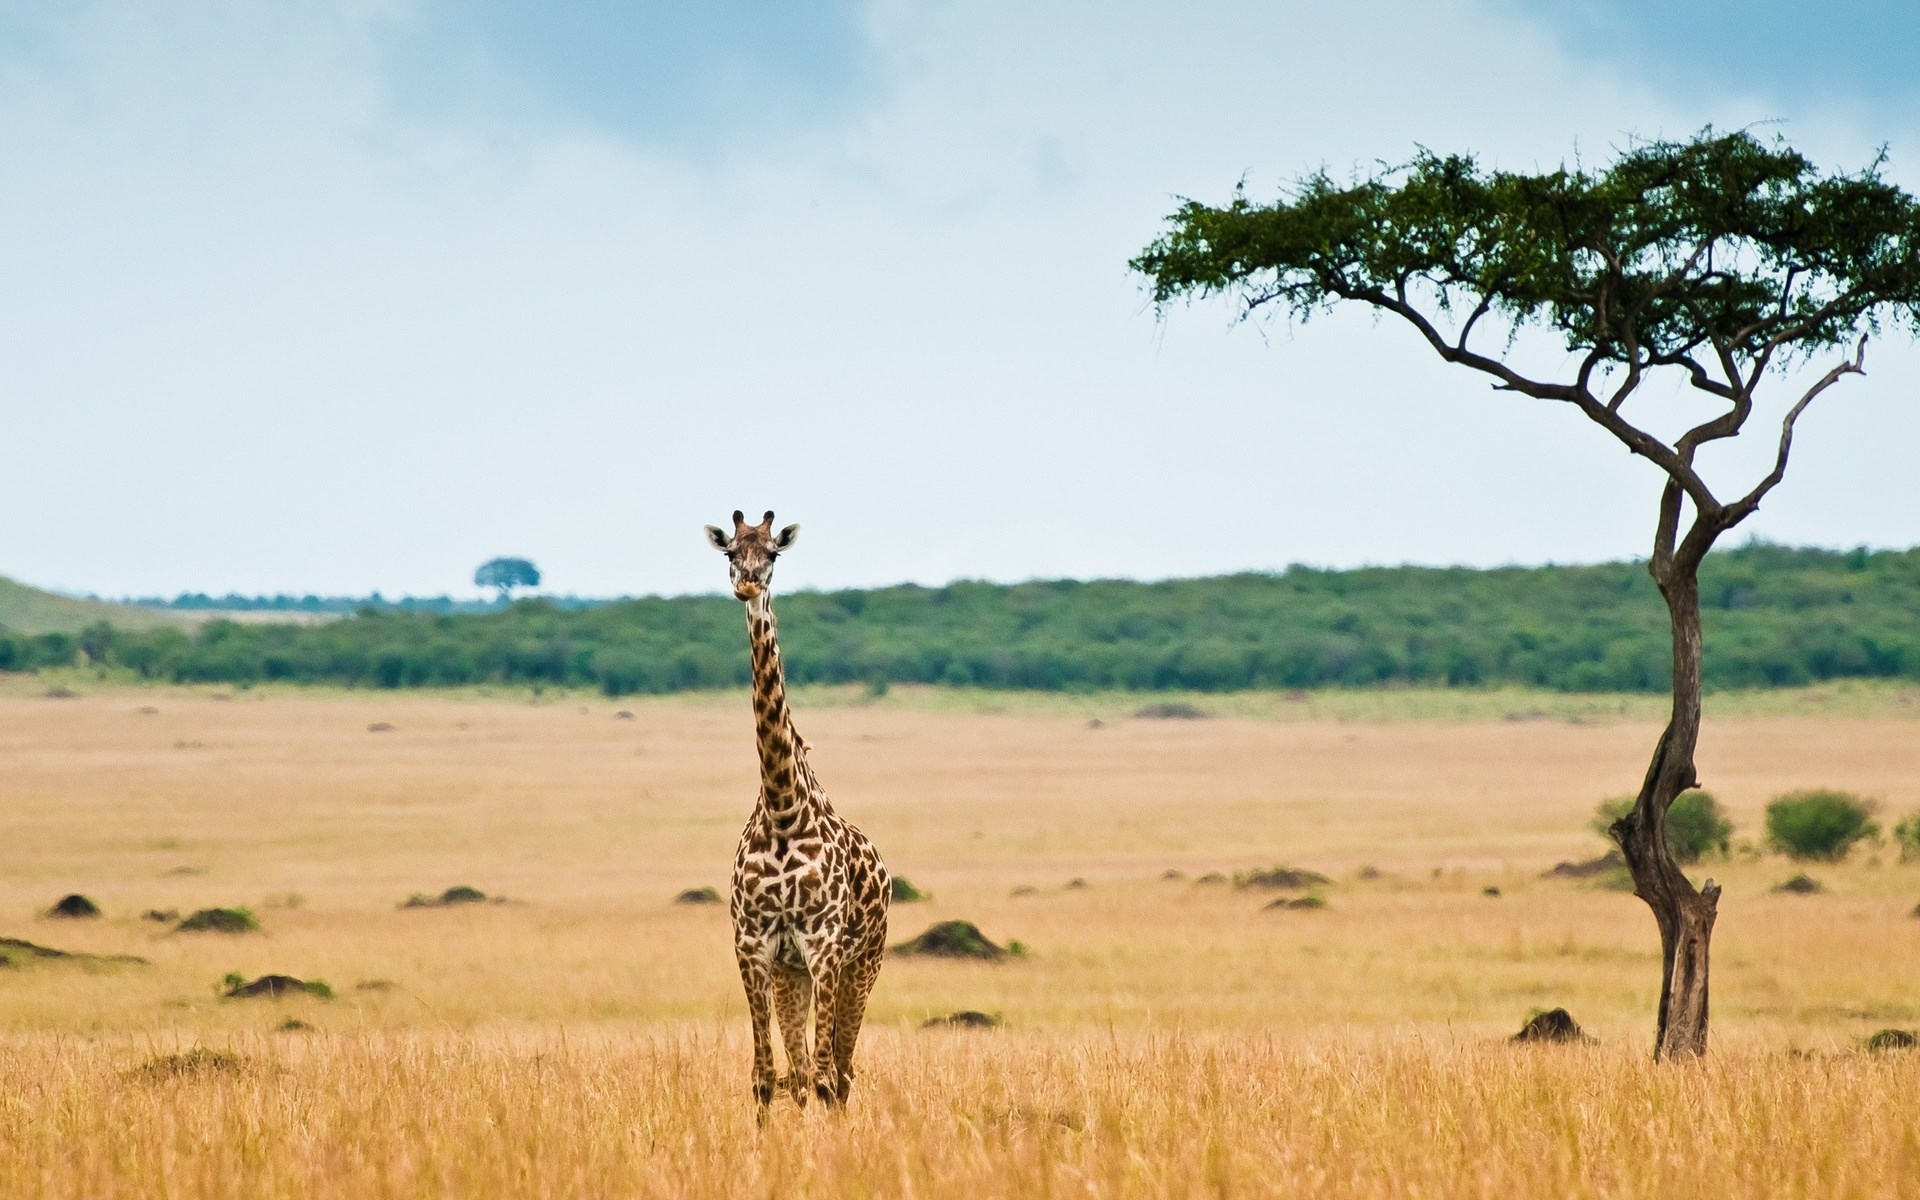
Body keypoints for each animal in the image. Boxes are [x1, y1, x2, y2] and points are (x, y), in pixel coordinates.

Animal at [704, 509, 891, 1114]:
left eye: (774, 554)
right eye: (730, 552)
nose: (747, 585)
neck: (784, 809)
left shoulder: (824, 946)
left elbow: (827, 1074)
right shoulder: (754, 947)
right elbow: (768, 1075)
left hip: (864, 963)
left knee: (842, 1072)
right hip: (794, 975)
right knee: (804, 1069)